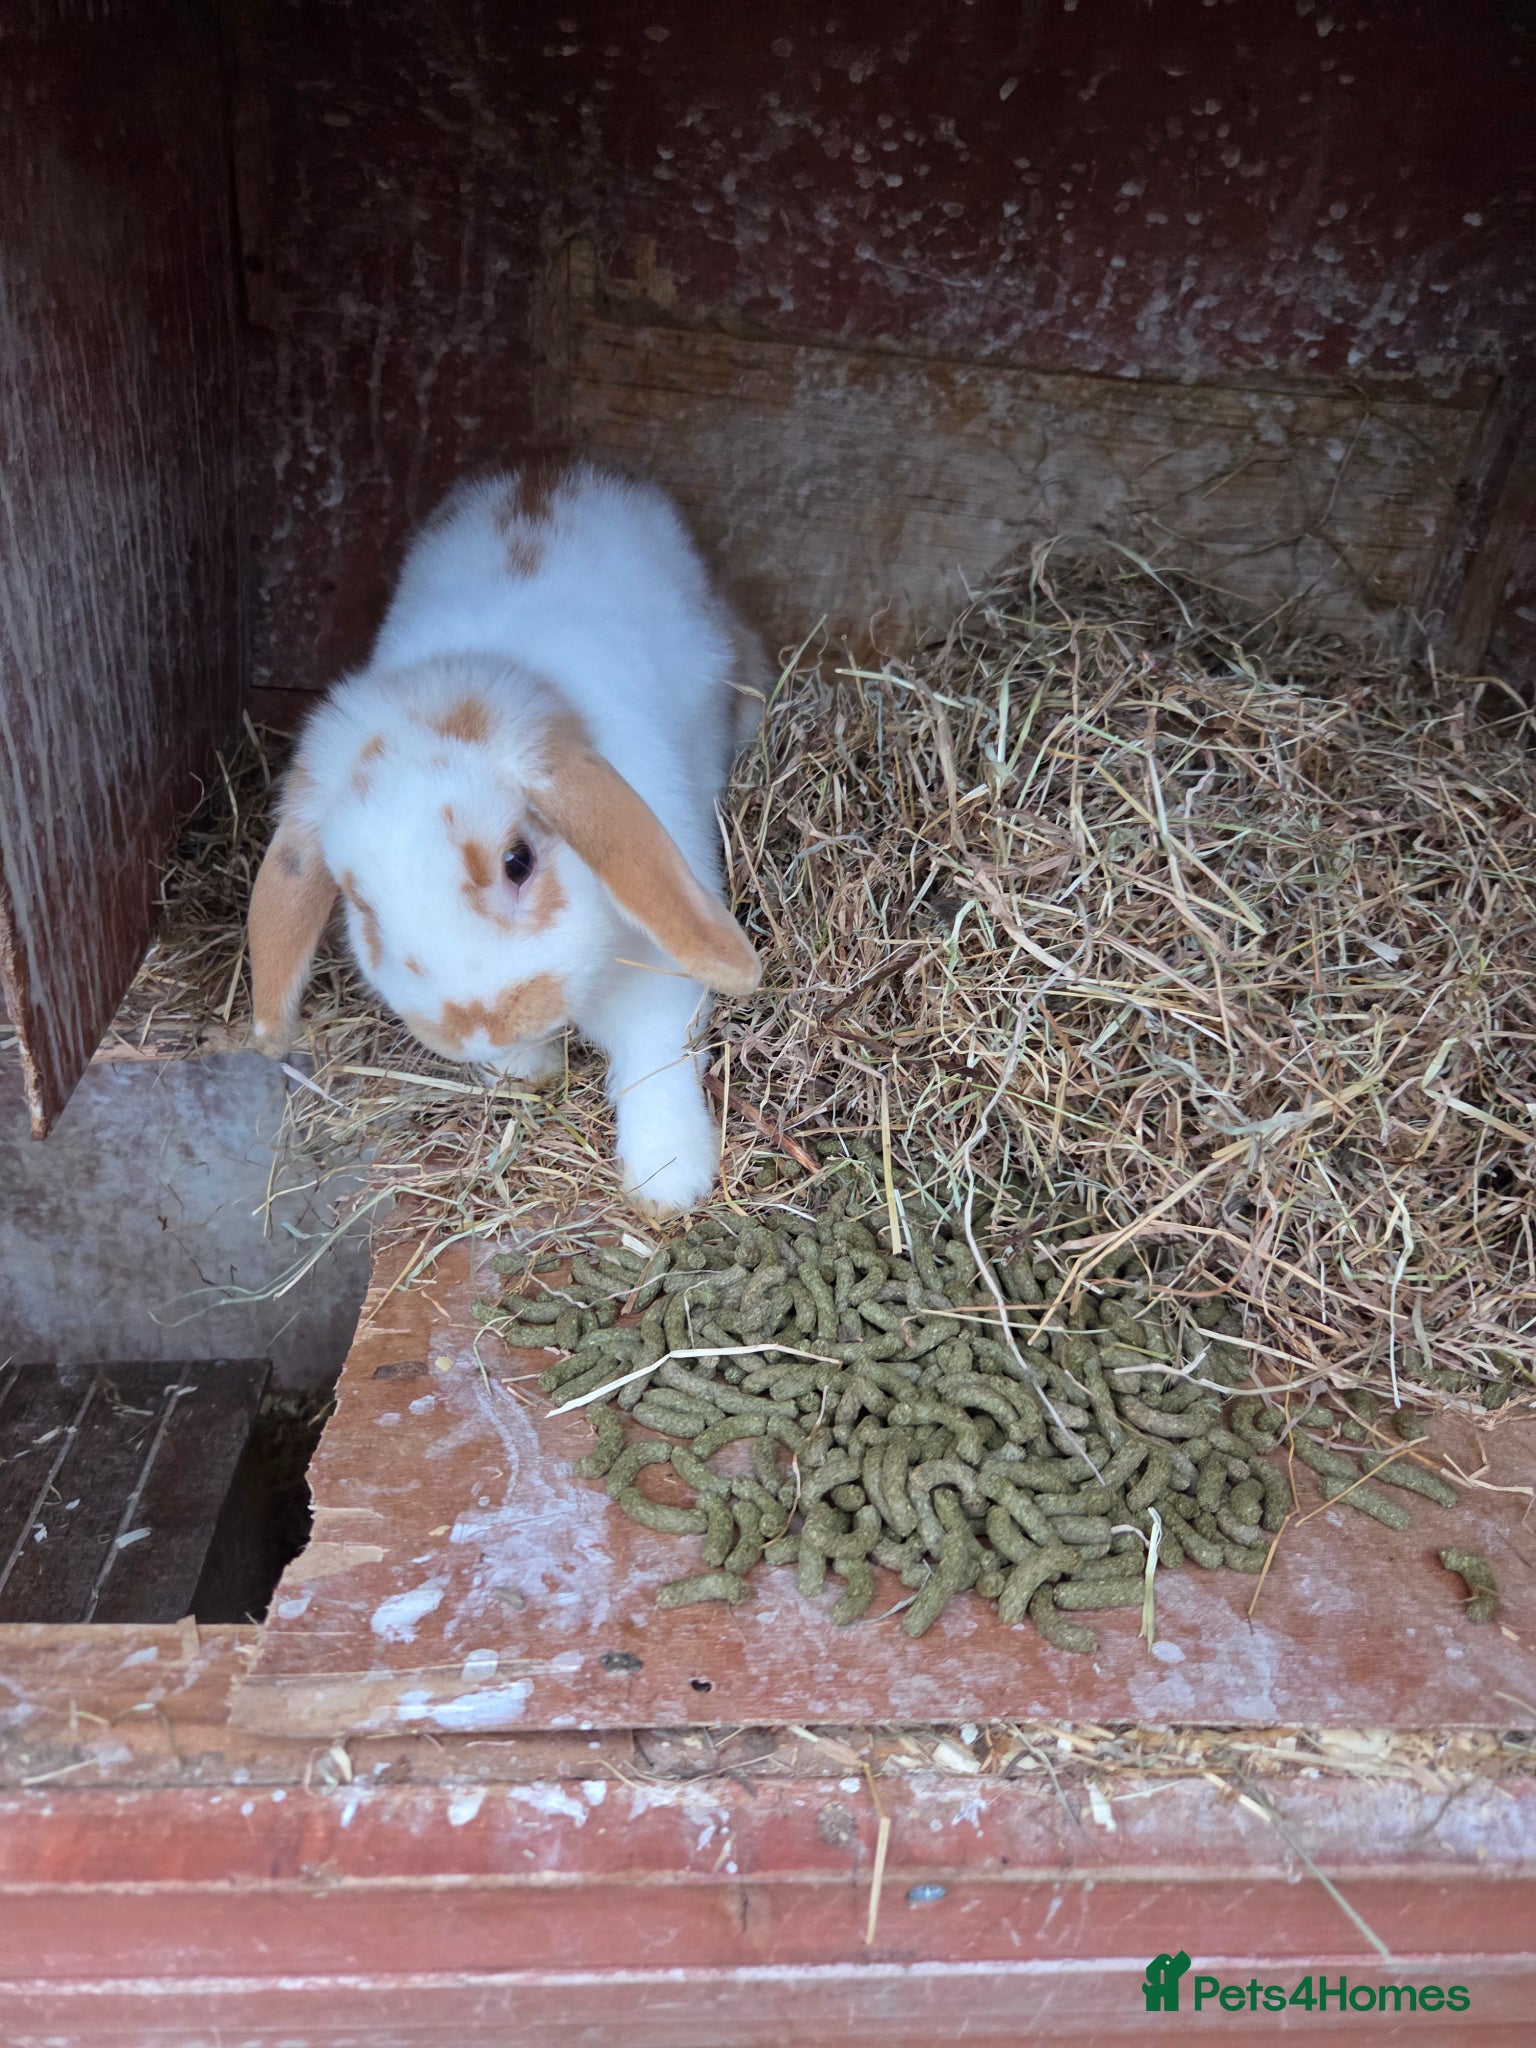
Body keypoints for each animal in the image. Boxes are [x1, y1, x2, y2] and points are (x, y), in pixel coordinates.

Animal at [247, 456, 769, 1215]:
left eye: (518, 861)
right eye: (362, 907)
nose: (482, 1024)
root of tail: (548, 474)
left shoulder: (657, 972)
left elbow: (655, 1063)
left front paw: (668, 1184)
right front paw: (526, 1067)